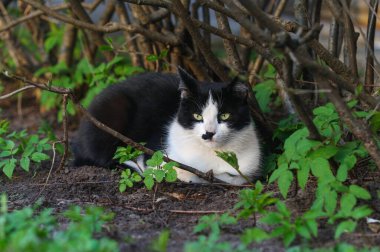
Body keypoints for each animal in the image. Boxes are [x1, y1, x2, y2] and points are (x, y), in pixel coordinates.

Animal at [71, 67, 262, 185]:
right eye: (197, 116)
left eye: (224, 115)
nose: (208, 133)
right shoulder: (157, 155)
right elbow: (183, 172)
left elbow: (238, 177)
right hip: (113, 111)